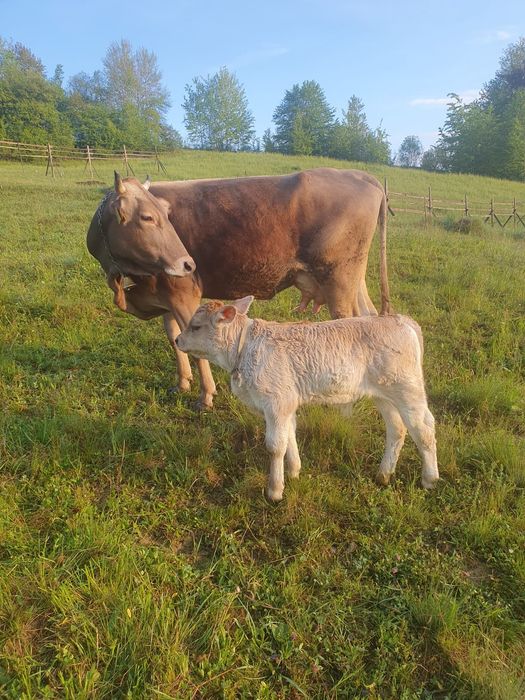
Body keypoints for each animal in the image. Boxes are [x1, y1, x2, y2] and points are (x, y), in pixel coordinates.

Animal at [87, 168, 390, 409]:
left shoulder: (185, 296)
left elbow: (193, 348)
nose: (187, 263)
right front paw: (182, 383)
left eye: (166, 215)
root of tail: (358, 173)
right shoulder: (165, 295)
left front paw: (205, 397)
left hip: (339, 281)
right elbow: (174, 339)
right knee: (368, 317)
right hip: (352, 280)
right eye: (148, 217)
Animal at [176, 297, 439, 501]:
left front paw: (274, 490)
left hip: (408, 389)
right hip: (384, 395)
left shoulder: (276, 403)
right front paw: (294, 472)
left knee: (424, 429)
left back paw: (430, 479)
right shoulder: (286, 403)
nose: (177, 340)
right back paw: (383, 474)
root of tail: (401, 320)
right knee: (397, 428)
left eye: (196, 326)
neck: (243, 351)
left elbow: (275, 446)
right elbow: (290, 435)